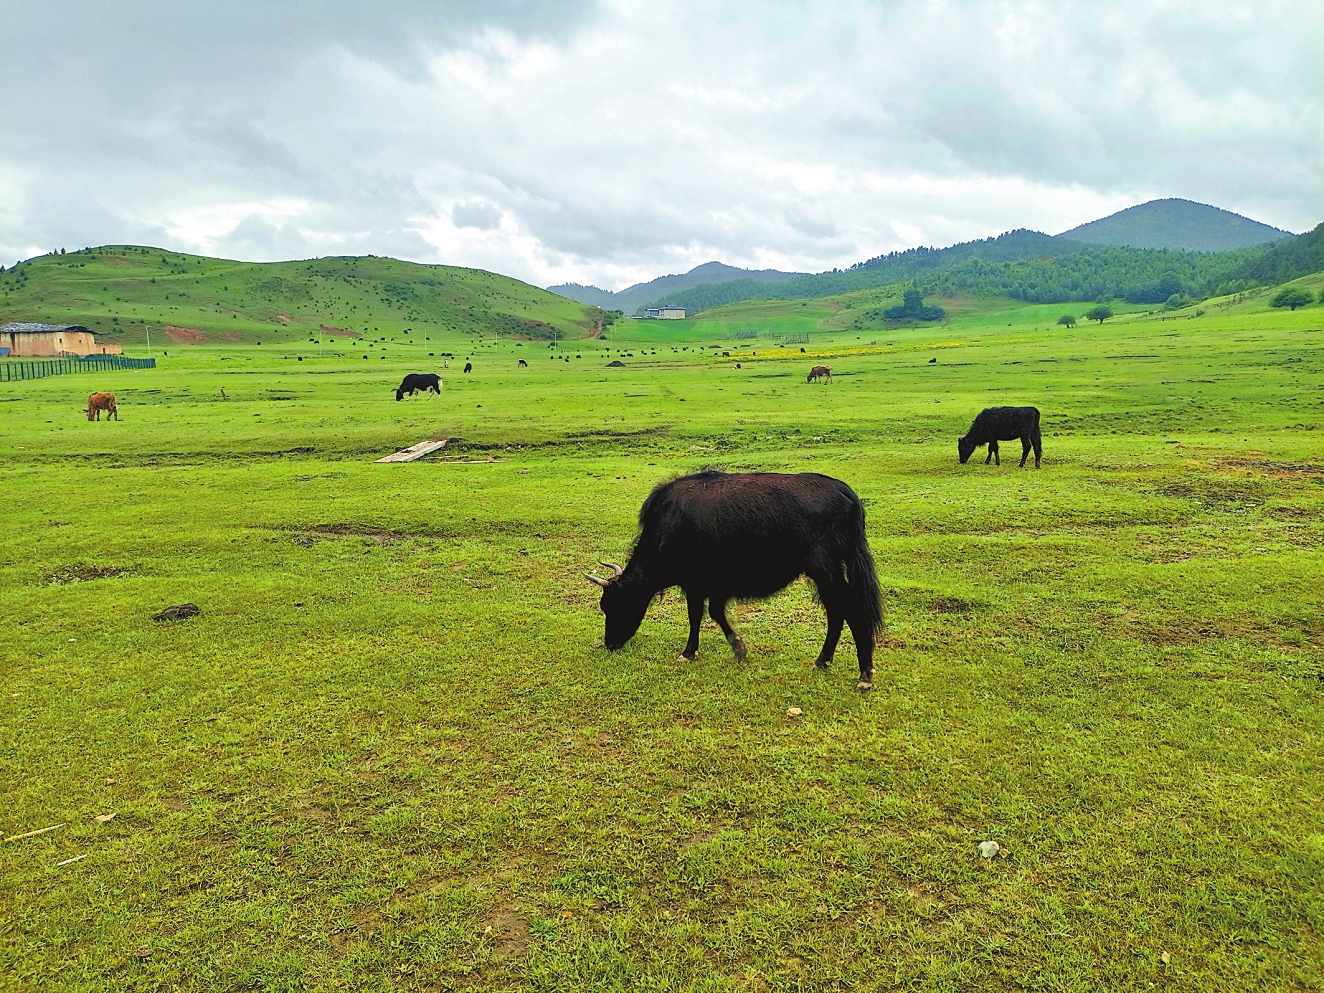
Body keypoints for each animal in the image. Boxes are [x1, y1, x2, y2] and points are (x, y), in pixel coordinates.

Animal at [585, 471, 884, 690]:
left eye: (611, 606)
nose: (610, 644)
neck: (669, 525)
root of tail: (844, 491)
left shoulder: (698, 583)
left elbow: (701, 614)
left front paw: (700, 651)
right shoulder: (709, 585)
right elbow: (708, 614)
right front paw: (724, 649)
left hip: (826, 570)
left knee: (850, 609)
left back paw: (864, 675)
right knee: (837, 611)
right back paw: (824, 661)